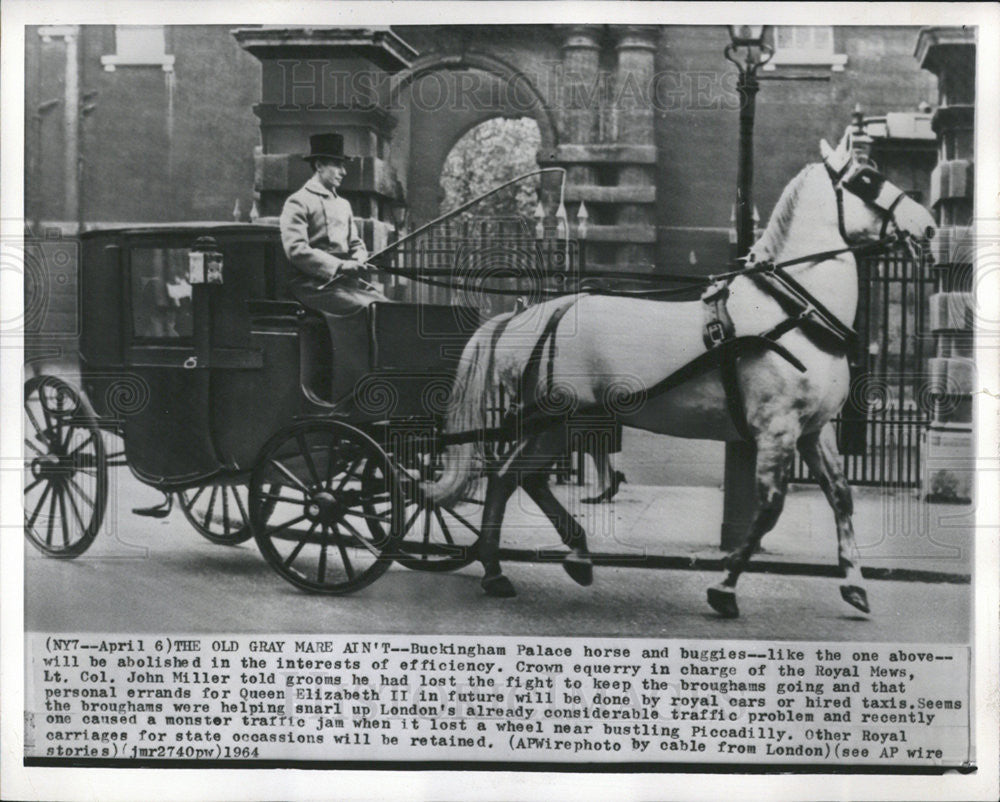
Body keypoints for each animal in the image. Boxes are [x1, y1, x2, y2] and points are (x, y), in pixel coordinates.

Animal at [424, 134, 936, 616]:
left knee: (515, 478)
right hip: (559, 420)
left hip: (566, 422)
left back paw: (548, 560)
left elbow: (841, 497)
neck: (790, 312)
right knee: (510, 477)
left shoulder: (813, 431)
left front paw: (854, 583)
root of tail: (533, 314)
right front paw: (725, 586)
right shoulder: (778, 430)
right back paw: (505, 566)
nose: (927, 224)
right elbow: (770, 509)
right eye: (866, 178)